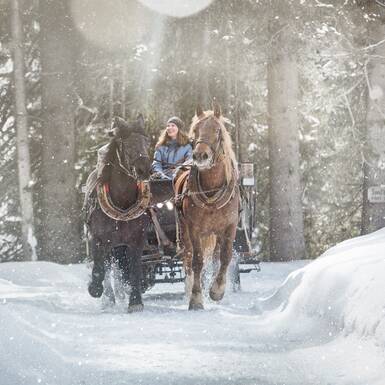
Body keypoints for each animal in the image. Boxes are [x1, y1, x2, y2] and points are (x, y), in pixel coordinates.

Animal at [85, 115, 151, 312]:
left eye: (147, 142)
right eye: (126, 144)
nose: (145, 170)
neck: (122, 203)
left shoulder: (137, 240)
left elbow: (135, 269)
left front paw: (135, 301)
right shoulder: (97, 239)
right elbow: (100, 268)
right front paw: (95, 288)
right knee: (106, 268)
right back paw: (108, 298)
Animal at [175, 103, 240, 308]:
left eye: (218, 130)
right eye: (195, 130)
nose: (200, 155)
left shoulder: (230, 226)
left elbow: (225, 257)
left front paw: (217, 290)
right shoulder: (194, 228)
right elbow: (197, 261)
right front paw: (196, 298)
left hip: (216, 232)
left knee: (216, 256)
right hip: (185, 230)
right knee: (188, 258)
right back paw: (189, 289)